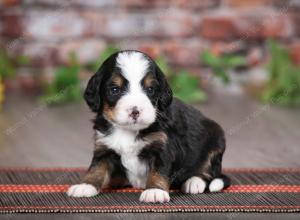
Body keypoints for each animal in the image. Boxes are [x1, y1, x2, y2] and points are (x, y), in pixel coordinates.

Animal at [67, 49, 230, 203]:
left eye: (150, 89)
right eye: (114, 90)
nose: (135, 111)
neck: (128, 131)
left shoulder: (163, 147)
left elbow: (158, 171)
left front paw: (154, 191)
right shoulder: (104, 147)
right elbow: (96, 168)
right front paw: (85, 186)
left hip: (216, 139)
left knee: (208, 170)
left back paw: (194, 182)